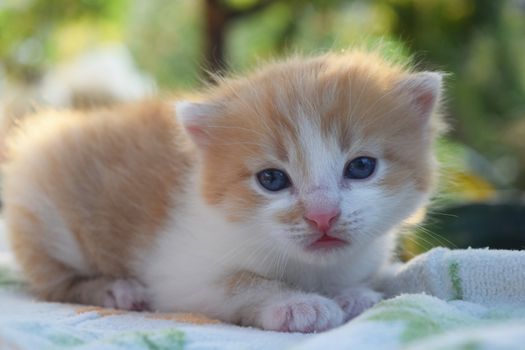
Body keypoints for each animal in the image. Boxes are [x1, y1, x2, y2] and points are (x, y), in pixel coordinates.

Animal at [2, 50, 444, 332]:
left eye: (361, 167)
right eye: (272, 180)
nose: (323, 215)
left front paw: (353, 293)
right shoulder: (178, 272)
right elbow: (240, 282)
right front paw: (297, 304)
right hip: (45, 215)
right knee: (54, 285)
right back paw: (116, 289)